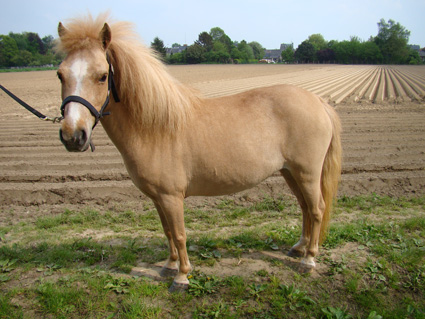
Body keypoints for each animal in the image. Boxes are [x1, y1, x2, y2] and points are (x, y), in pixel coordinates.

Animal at [56, 14, 342, 292]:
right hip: (290, 172)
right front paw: (169, 266)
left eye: (103, 76)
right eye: (60, 74)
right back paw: (299, 248)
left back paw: (309, 259)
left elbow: (180, 234)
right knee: (305, 208)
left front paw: (182, 277)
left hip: (307, 173)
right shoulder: (158, 197)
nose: (73, 135)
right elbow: (167, 232)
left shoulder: (172, 197)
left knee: (317, 209)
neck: (155, 128)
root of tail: (318, 101)